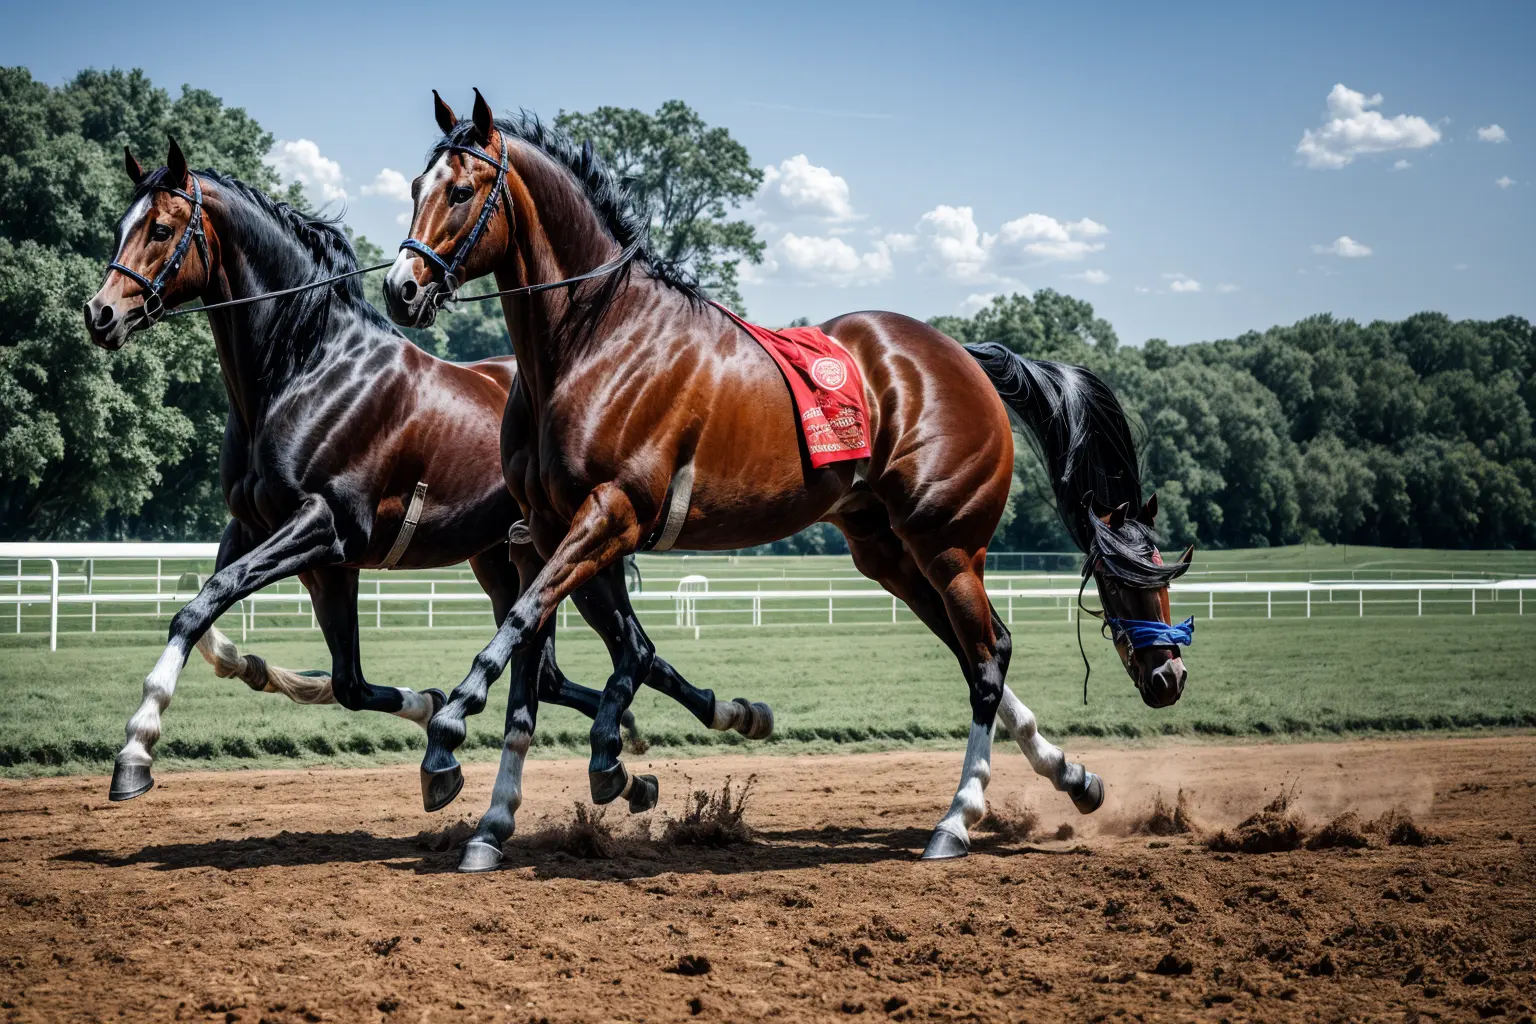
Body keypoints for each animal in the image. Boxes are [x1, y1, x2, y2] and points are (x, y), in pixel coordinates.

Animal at [82, 138, 774, 807]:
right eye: (120, 225)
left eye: (161, 228)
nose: (100, 313)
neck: (306, 370)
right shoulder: (283, 540)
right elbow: (331, 675)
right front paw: (422, 706)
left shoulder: (323, 527)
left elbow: (206, 603)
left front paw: (136, 750)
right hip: (507, 558)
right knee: (574, 669)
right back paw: (682, 727)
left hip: (562, 545)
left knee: (612, 657)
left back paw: (713, 720)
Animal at [383, 91, 1193, 871]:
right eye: (415, 187)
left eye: (461, 190)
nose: (401, 289)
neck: (594, 342)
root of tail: (962, 355)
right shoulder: (547, 531)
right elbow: (546, 656)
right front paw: (496, 819)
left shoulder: (611, 513)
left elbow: (537, 634)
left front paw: (453, 732)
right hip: (886, 549)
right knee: (978, 650)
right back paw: (1070, 776)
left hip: (948, 542)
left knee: (988, 658)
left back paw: (957, 819)